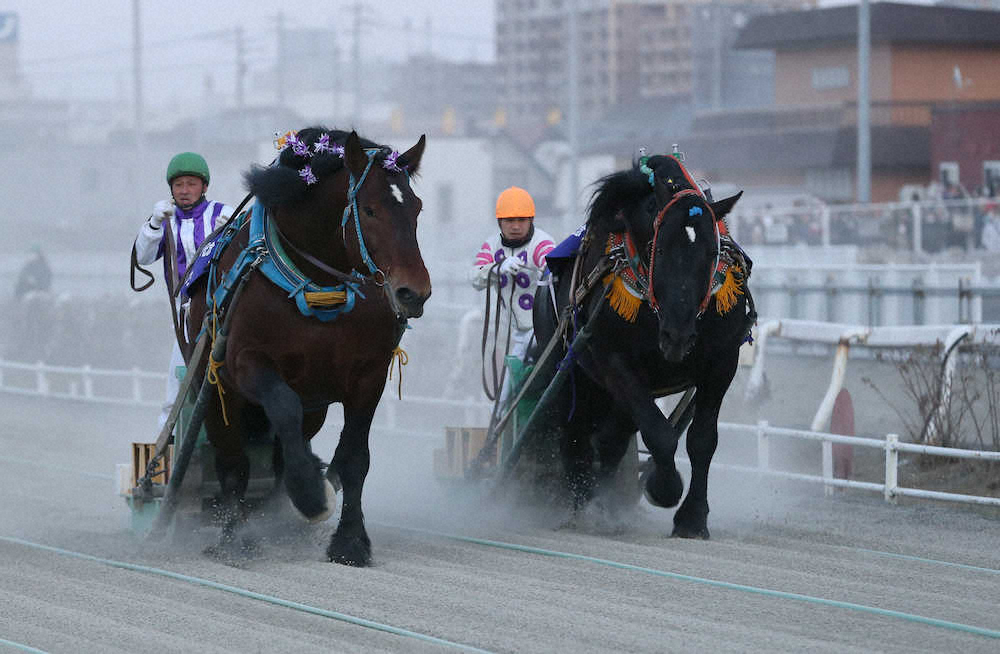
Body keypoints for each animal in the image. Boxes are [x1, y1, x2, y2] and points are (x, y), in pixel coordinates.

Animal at [186, 127, 428, 564]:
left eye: (416, 208)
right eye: (369, 210)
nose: (413, 293)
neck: (317, 283)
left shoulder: (367, 375)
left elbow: (355, 458)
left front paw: (350, 541)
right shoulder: (246, 362)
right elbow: (283, 407)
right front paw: (310, 495)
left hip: (315, 404)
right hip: (211, 392)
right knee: (233, 460)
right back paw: (233, 538)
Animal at [536, 155, 752, 544]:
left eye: (711, 252)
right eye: (661, 249)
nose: (677, 336)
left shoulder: (721, 362)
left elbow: (702, 440)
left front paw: (693, 518)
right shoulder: (615, 362)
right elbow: (659, 434)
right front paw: (664, 487)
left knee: (610, 438)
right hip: (571, 371)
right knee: (575, 434)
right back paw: (581, 503)